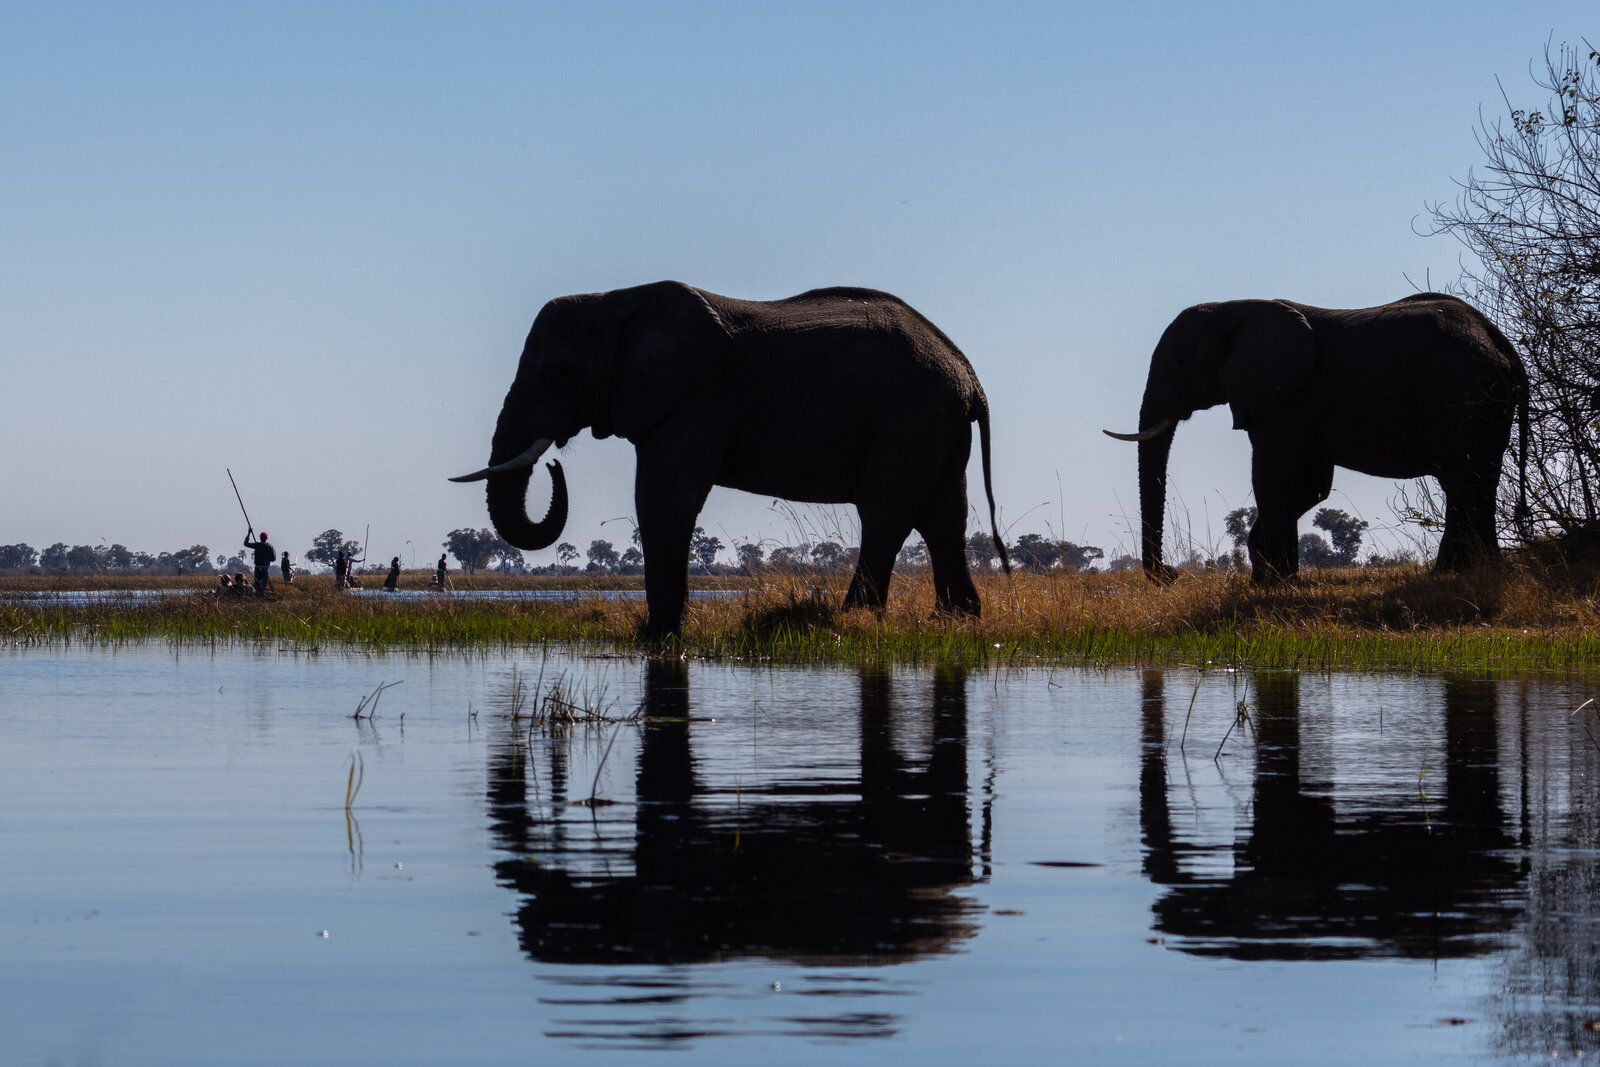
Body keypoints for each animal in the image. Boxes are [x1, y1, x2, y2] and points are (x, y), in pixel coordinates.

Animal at [451, 280, 1010, 636]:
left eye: (560, 375)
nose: (554, 462)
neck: (616, 300)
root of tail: (971, 377)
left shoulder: (695, 399)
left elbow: (664, 501)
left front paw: (659, 637)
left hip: (908, 420)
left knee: (886, 516)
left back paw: (852, 621)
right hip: (935, 426)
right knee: (943, 518)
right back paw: (954, 623)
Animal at [1105, 293, 1528, 582]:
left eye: (1181, 363)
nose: (1171, 575)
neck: (1235, 308)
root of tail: (1502, 342)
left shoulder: (1287, 399)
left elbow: (1274, 479)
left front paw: (1272, 584)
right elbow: (1311, 488)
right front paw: (1269, 577)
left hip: (1464, 400)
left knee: (1463, 483)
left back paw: (1454, 574)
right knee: (1476, 484)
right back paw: (1477, 572)